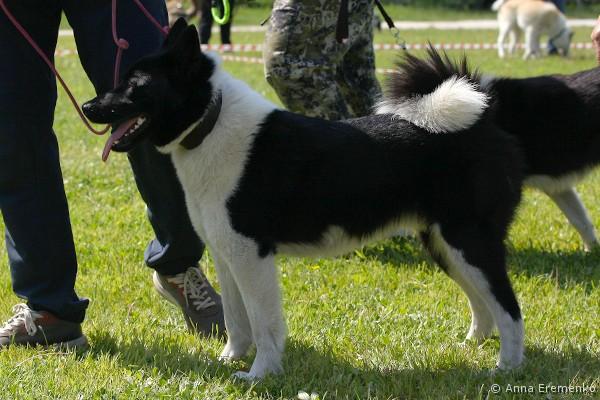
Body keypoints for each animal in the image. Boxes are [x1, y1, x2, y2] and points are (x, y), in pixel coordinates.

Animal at [82, 19, 526, 379]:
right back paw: (472, 345)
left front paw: (259, 374)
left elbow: (263, 324)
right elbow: (237, 321)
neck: (210, 122)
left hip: (469, 242)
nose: (88, 107)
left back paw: (506, 368)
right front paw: (228, 360)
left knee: (509, 307)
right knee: (483, 302)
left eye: (136, 86)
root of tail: (483, 121)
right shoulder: (226, 255)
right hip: (443, 244)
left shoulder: (251, 256)